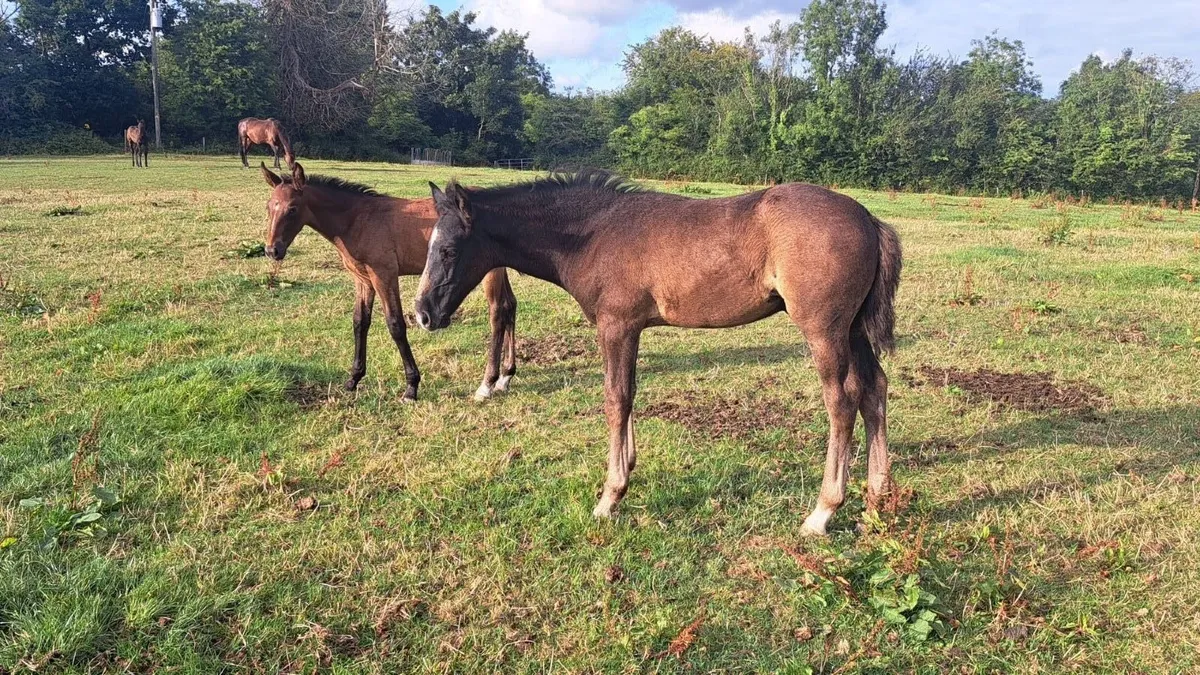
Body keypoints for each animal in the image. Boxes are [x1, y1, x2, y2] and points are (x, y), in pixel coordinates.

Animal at [260, 162, 517, 402]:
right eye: (269, 206)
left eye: (292, 209)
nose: (273, 250)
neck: (357, 220)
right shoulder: (363, 280)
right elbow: (360, 322)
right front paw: (353, 379)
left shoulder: (384, 275)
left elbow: (395, 325)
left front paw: (411, 387)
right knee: (510, 305)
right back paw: (506, 376)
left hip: (489, 272)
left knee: (497, 313)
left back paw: (488, 384)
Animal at [413, 171, 902, 536]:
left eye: (449, 249)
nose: (422, 313)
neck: (593, 235)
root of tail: (868, 219)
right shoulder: (630, 329)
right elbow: (629, 394)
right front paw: (626, 471)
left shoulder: (616, 326)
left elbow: (615, 400)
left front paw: (609, 497)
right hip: (854, 329)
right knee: (874, 388)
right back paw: (877, 498)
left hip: (824, 329)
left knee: (842, 401)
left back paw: (822, 512)